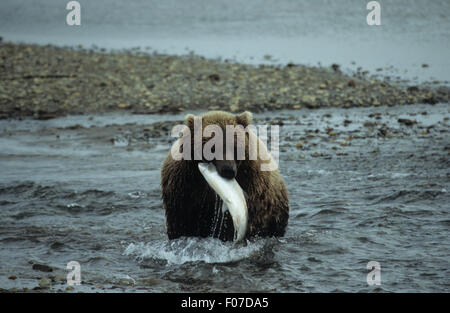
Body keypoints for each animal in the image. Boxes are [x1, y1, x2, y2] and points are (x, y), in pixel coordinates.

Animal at [160, 110, 290, 241]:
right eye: (212, 148)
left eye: (235, 146)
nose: (229, 170)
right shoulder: (184, 186)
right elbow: (182, 221)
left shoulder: (252, 181)